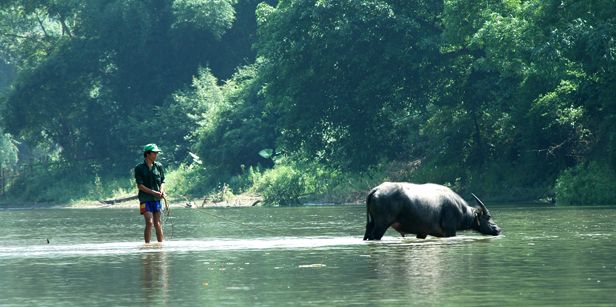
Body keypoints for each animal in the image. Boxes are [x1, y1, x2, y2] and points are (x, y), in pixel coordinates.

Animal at [366, 183, 500, 241]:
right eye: (488, 217)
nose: (498, 229)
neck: (461, 211)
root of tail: (376, 189)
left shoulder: (422, 232)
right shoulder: (450, 231)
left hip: (371, 224)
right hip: (381, 225)